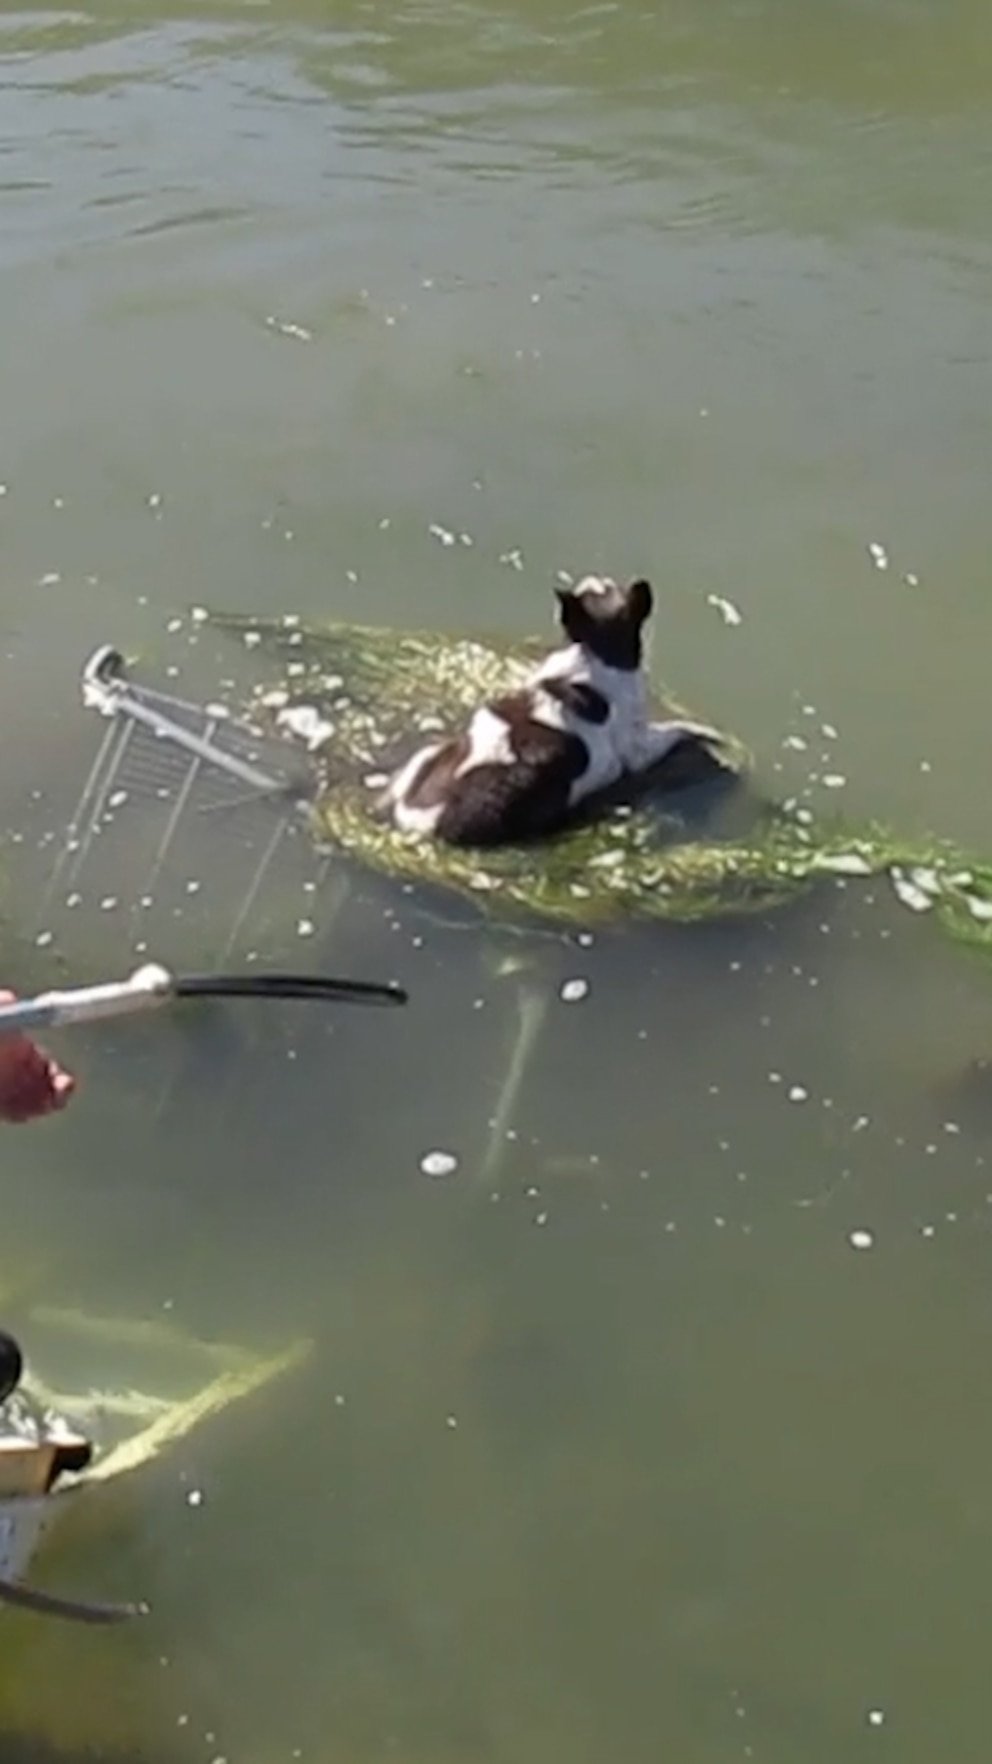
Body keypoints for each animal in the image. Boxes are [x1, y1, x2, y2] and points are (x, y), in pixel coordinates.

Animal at [379, 578, 716, 846]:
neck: (592, 651)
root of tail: (419, 825)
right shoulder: (636, 748)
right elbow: (675, 730)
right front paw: (701, 732)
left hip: (425, 757)